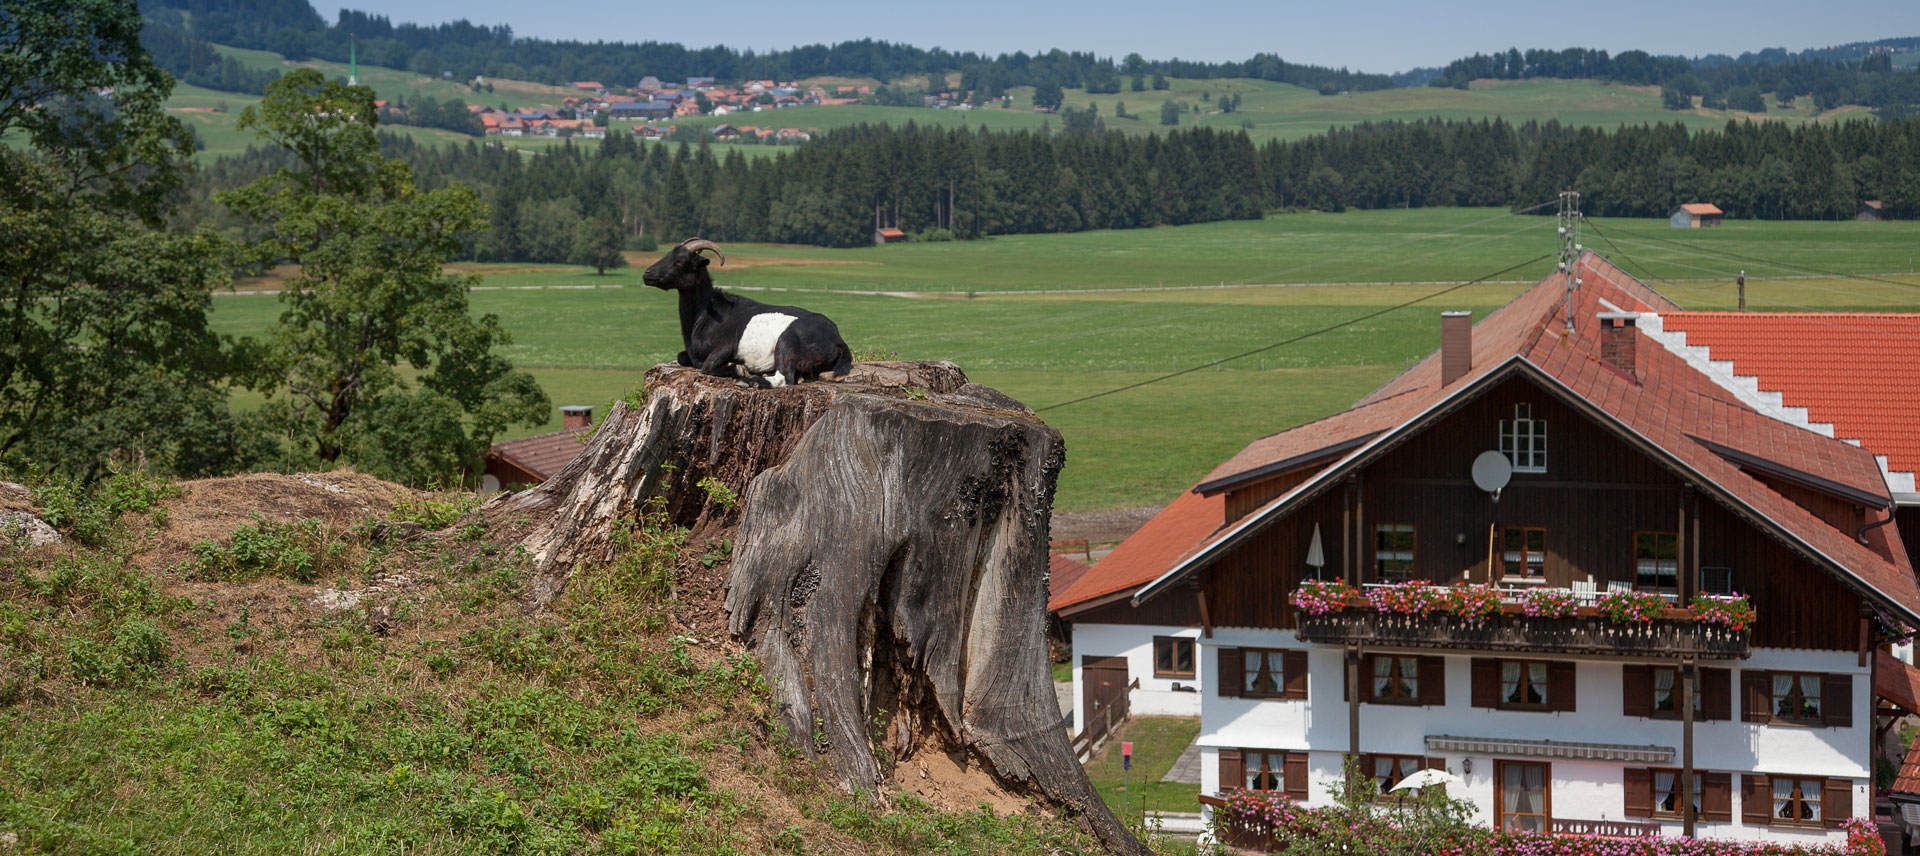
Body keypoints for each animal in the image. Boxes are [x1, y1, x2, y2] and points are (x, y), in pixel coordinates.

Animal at [641, 238, 852, 389]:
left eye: (680, 262)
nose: (647, 274)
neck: (706, 314)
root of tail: (838, 340)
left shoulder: (726, 345)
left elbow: (706, 367)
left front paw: (740, 369)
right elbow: (682, 357)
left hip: (787, 342)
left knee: (784, 378)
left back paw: (749, 381)